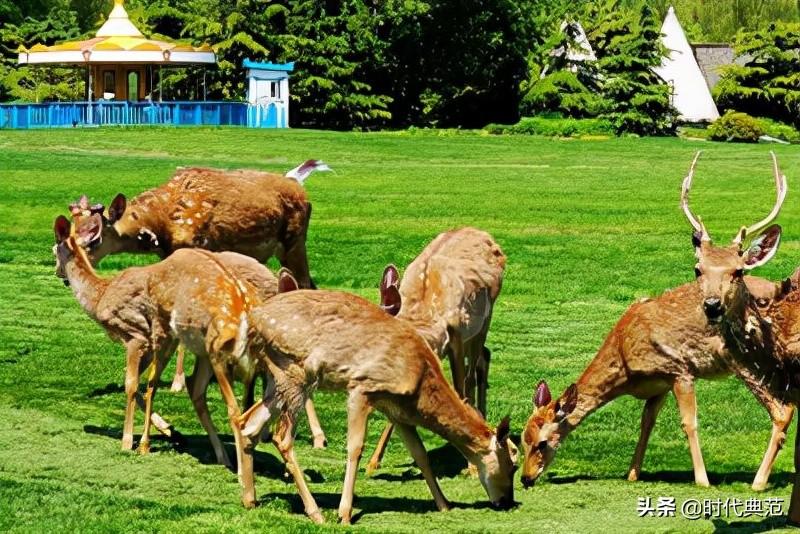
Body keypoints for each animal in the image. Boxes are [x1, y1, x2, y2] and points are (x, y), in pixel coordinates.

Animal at [53, 215, 320, 506]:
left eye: (54, 249)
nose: (58, 273)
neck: (100, 295)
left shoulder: (139, 336)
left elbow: (134, 385)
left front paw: (130, 441)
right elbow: (144, 387)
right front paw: (170, 431)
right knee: (217, 390)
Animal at [69, 161, 330, 400]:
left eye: (95, 238)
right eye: (73, 229)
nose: (70, 262)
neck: (163, 223)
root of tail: (298, 182)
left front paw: (178, 383)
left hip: (294, 242)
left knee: (304, 284)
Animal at [236, 274, 520, 524]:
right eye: (512, 463)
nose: (506, 501)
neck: (420, 380)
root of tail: (251, 320)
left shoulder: (396, 408)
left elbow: (420, 454)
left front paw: (444, 504)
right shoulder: (362, 386)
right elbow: (355, 447)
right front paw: (345, 514)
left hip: (278, 378)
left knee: (248, 423)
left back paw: (250, 499)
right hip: (295, 372)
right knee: (281, 437)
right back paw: (315, 512)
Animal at [364, 226, 504, 474]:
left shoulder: (457, 334)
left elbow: (460, 390)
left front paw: (472, 466)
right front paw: (373, 461)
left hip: (484, 319)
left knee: (474, 371)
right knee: (484, 356)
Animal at [520, 152, 792, 494]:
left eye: (542, 443)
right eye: (521, 437)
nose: (526, 477)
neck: (625, 359)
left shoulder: (679, 369)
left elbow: (689, 423)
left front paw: (702, 481)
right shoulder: (657, 385)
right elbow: (646, 423)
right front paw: (632, 473)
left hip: (751, 357)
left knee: (783, 411)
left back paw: (758, 482)